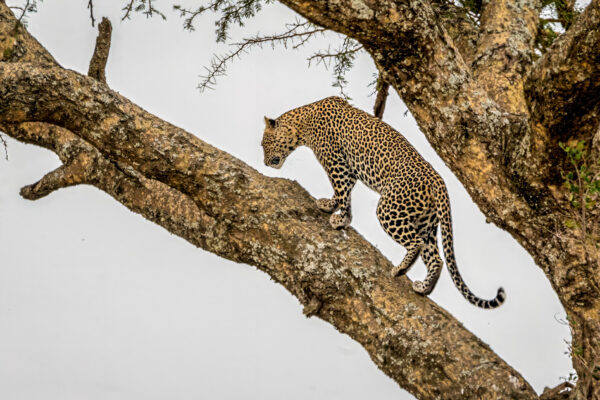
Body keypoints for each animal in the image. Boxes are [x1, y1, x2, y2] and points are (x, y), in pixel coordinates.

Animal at [262, 97, 506, 310]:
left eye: (265, 144)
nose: (264, 162)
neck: (302, 121)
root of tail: (439, 182)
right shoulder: (348, 170)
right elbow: (344, 193)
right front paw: (335, 211)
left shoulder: (336, 163)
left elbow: (342, 193)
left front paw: (338, 216)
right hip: (425, 222)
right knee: (436, 258)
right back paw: (424, 288)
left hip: (390, 209)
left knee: (415, 243)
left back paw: (400, 270)